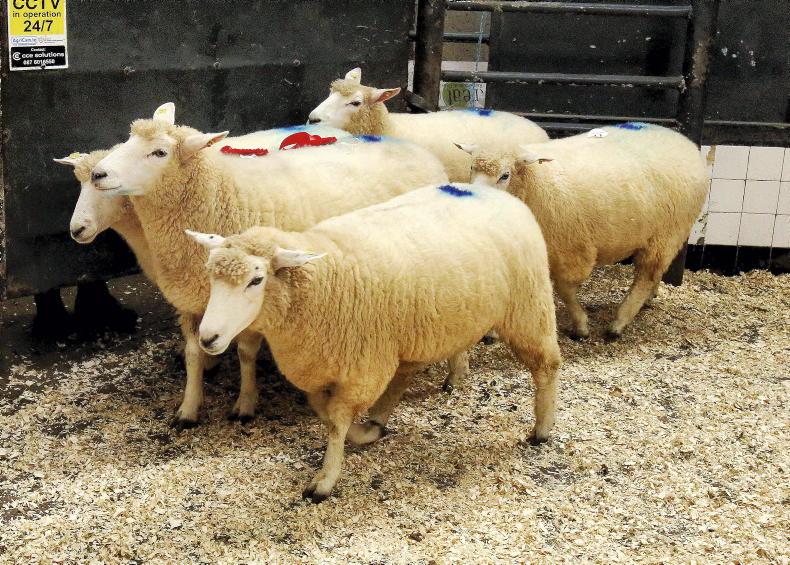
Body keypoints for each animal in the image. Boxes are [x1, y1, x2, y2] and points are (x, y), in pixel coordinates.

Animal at [89, 102, 450, 428]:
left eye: (159, 152)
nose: (97, 174)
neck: (221, 193)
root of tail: (415, 149)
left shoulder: (255, 297)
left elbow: (246, 353)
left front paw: (245, 403)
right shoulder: (194, 299)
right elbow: (193, 355)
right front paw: (189, 407)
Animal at [189, 182, 562, 502]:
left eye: (256, 280)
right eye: (210, 275)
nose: (208, 337)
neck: (325, 280)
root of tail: (491, 191)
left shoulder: (363, 368)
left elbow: (336, 421)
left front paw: (325, 480)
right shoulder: (321, 367)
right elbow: (324, 412)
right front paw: (359, 433)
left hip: (529, 307)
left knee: (547, 364)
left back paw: (542, 428)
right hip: (423, 327)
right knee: (406, 375)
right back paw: (382, 421)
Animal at [458, 122, 709, 339]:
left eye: (505, 175)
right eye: (471, 168)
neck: (537, 183)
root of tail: (684, 141)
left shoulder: (572, 250)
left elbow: (565, 290)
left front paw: (581, 326)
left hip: (668, 233)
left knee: (646, 275)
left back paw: (618, 323)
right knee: (654, 272)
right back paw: (648, 299)